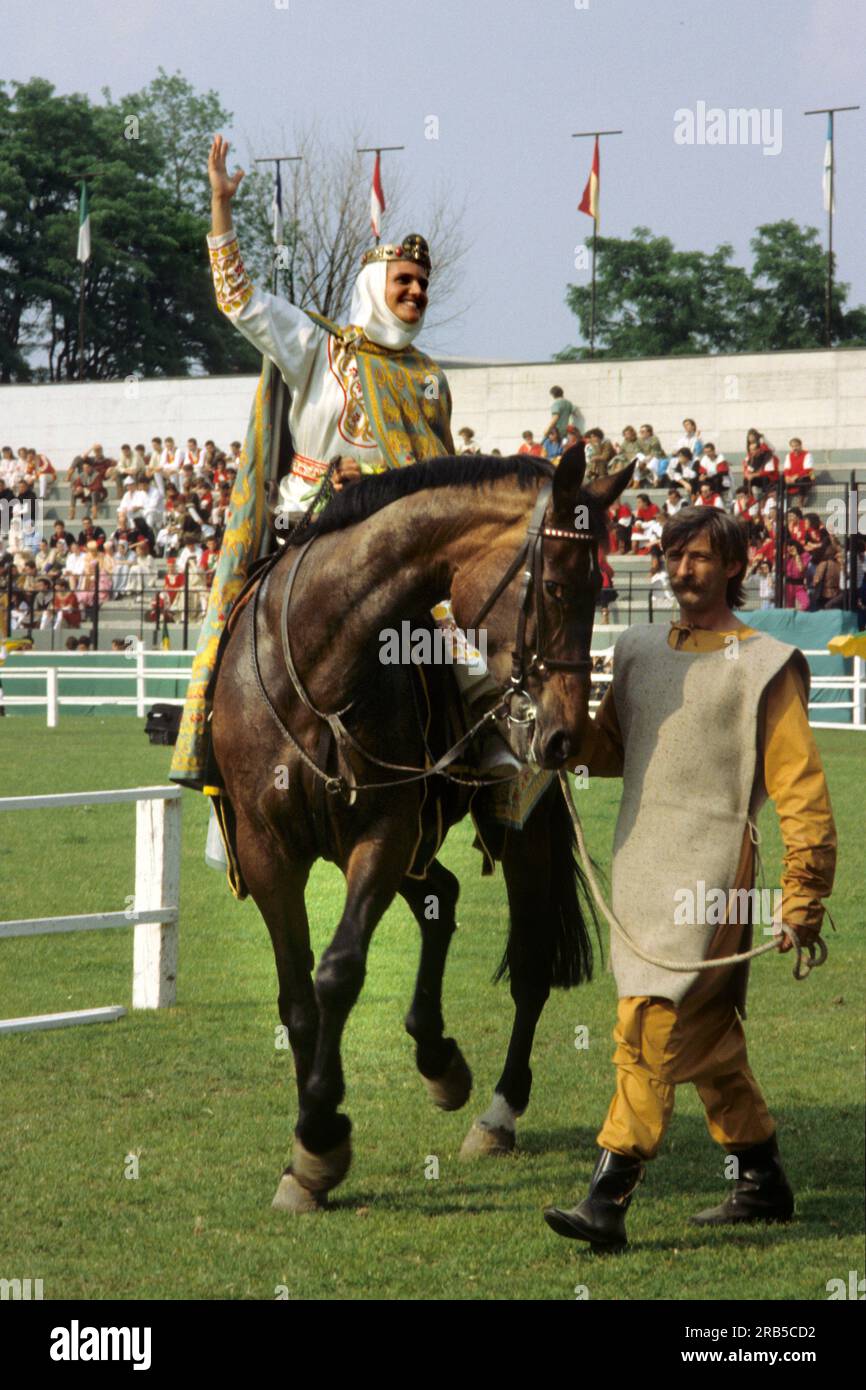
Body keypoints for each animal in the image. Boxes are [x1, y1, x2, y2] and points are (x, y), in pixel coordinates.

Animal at [209, 442, 631, 1206]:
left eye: (602, 592)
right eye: (558, 587)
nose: (564, 736)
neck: (316, 669)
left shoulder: (382, 834)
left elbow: (338, 973)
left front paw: (320, 1138)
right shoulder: (265, 852)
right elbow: (297, 997)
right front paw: (309, 1149)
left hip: (512, 832)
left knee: (528, 967)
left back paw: (495, 1112)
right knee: (444, 898)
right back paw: (438, 1058)